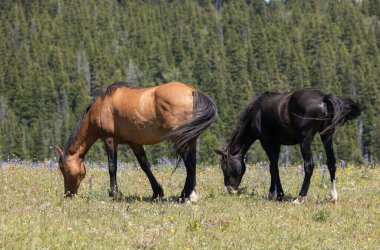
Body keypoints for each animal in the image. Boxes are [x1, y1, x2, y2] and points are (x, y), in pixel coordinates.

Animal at [56, 82, 217, 203]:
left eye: (63, 169)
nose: (68, 194)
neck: (101, 106)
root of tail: (193, 91)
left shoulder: (110, 139)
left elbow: (112, 167)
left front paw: (114, 193)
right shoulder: (134, 143)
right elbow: (145, 166)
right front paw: (157, 192)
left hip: (179, 139)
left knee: (189, 164)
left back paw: (185, 196)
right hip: (191, 139)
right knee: (193, 163)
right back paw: (190, 194)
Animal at [215, 89, 360, 204]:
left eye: (224, 167)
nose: (229, 189)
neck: (256, 113)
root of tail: (323, 98)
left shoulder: (267, 142)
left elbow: (274, 168)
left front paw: (278, 195)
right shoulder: (276, 144)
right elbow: (272, 167)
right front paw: (272, 193)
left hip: (305, 141)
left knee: (309, 165)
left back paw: (300, 198)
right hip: (326, 136)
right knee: (331, 162)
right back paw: (333, 196)